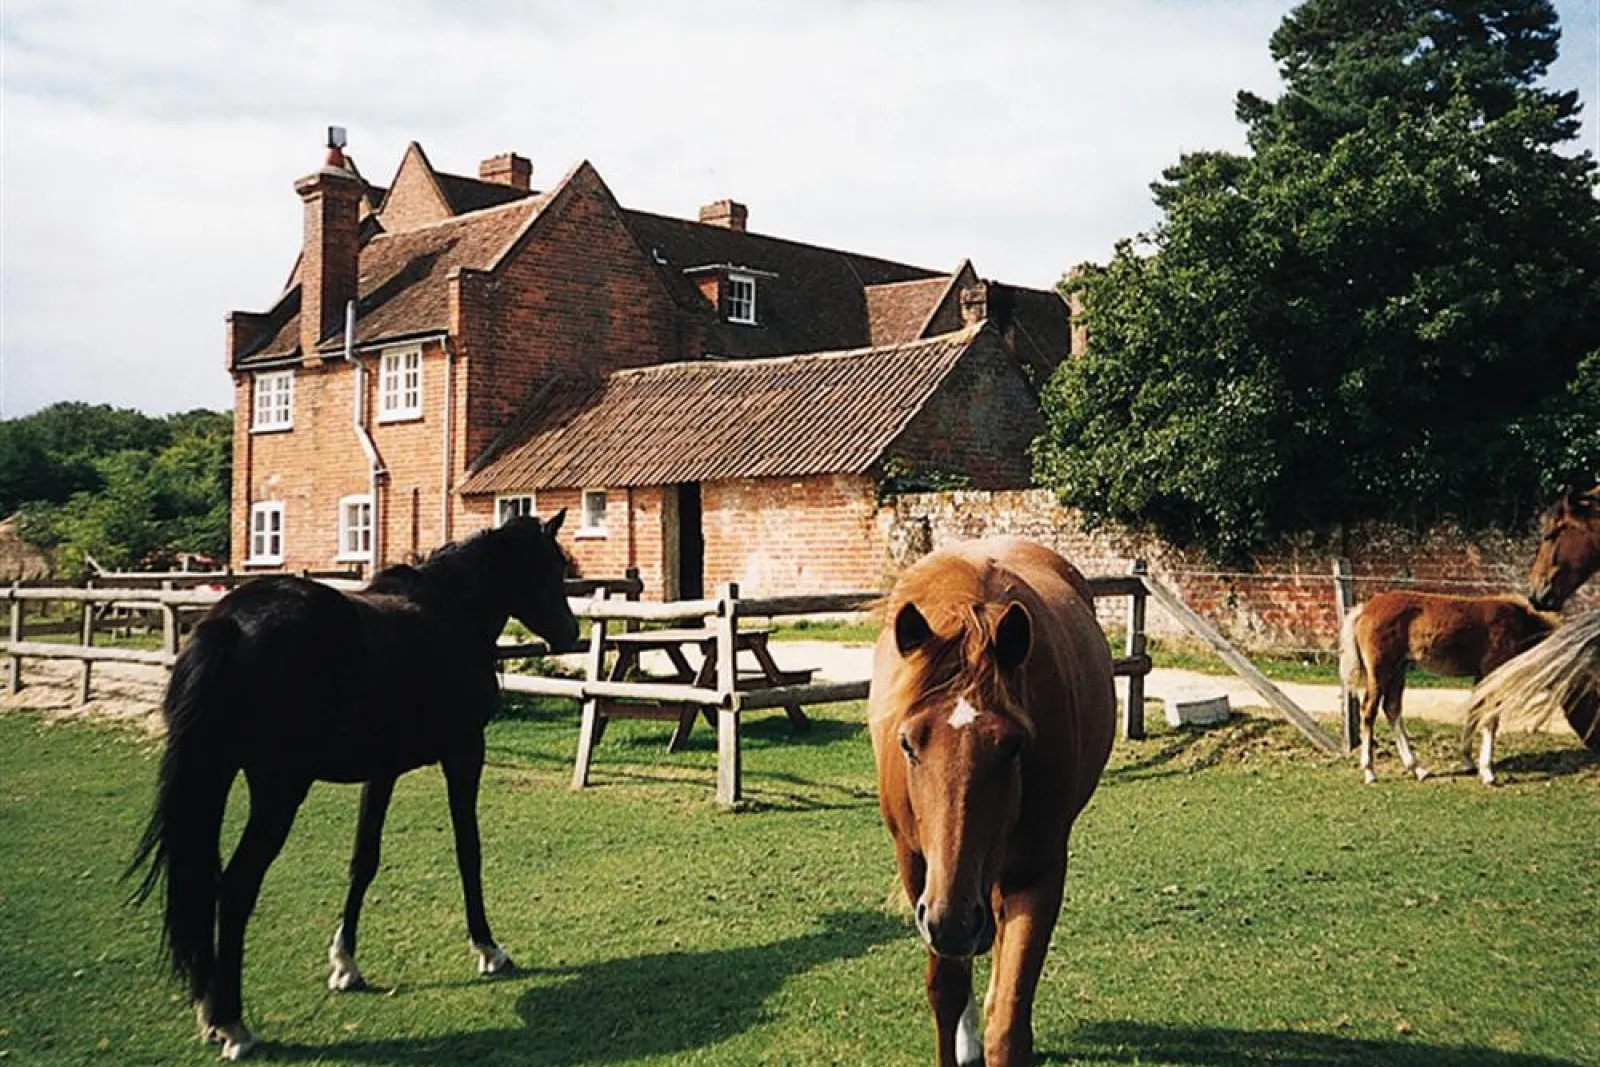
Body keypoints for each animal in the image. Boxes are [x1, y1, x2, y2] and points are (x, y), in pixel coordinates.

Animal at [127, 514, 580, 1060]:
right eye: (552, 567)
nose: (571, 632)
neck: (450, 612)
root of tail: (229, 625)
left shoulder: (381, 771)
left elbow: (364, 859)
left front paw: (346, 963)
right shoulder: (464, 752)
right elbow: (468, 851)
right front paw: (488, 948)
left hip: (215, 778)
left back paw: (210, 1009)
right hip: (278, 792)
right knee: (235, 888)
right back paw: (233, 1023)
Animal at [869, 537, 1116, 1067]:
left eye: (1013, 745)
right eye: (908, 744)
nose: (954, 921)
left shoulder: (1037, 873)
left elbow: (1009, 1020)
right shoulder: (920, 872)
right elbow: (945, 990)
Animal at [1339, 590, 1559, 785]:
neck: (1519, 623)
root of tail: (1365, 608)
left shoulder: (1481, 676)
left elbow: (1474, 711)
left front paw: (1468, 762)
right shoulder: (1493, 671)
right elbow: (1490, 719)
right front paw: (1487, 772)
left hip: (1398, 671)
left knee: (1391, 708)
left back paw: (1417, 769)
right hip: (1381, 671)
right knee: (1369, 711)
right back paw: (1370, 772)